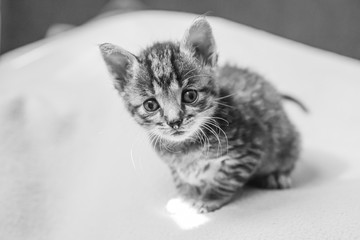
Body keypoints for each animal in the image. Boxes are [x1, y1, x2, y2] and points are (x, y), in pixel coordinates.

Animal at [99, 17, 300, 213]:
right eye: (150, 105)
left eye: (190, 95)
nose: (174, 121)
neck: (186, 148)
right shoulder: (175, 166)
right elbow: (182, 179)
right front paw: (186, 197)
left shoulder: (249, 147)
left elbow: (225, 179)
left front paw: (208, 199)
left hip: (287, 138)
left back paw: (278, 175)